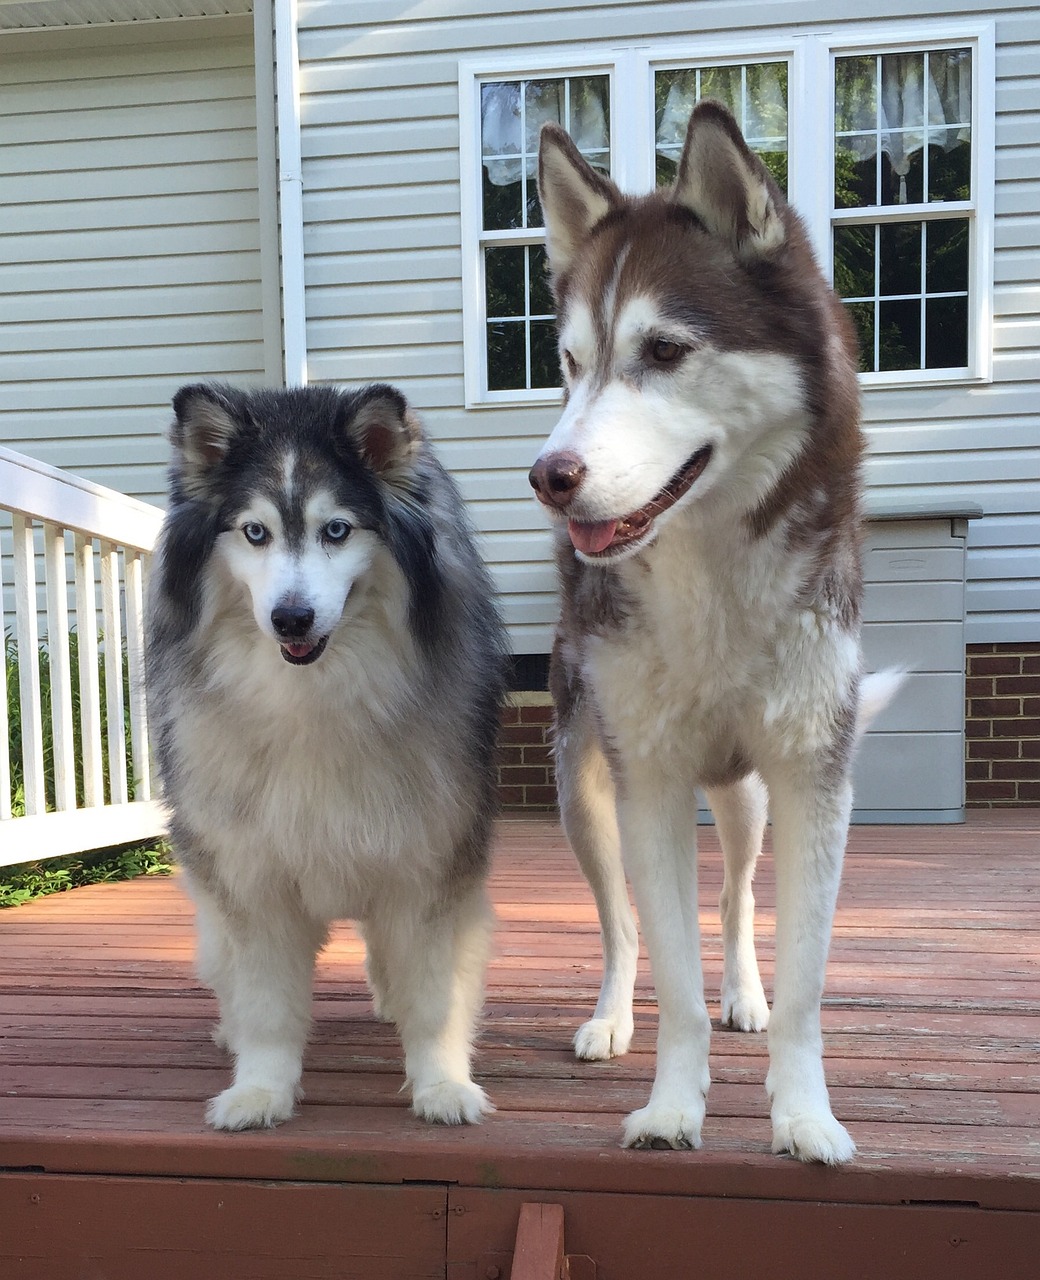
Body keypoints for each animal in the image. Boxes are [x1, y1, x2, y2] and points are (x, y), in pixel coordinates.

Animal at [143, 378, 507, 1131]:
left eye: (336, 530)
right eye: (255, 532)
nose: (291, 619)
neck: (315, 697)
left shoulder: (430, 863)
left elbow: (434, 992)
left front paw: (441, 1084)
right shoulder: (252, 876)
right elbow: (266, 1002)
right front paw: (260, 1088)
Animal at [532, 99, 896, 1162]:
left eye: (662, 351)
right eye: (570, 363)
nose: (548, 476)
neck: (712, 577)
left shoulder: (814, 775)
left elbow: (805, 983)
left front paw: (804, 1114)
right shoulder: (646, 778)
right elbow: (667, 968)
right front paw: (670, 1108)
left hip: (746, 795)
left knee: (735, 897)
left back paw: (745, 992)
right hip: (581, 782)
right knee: (620, 923)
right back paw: (613, 1015)